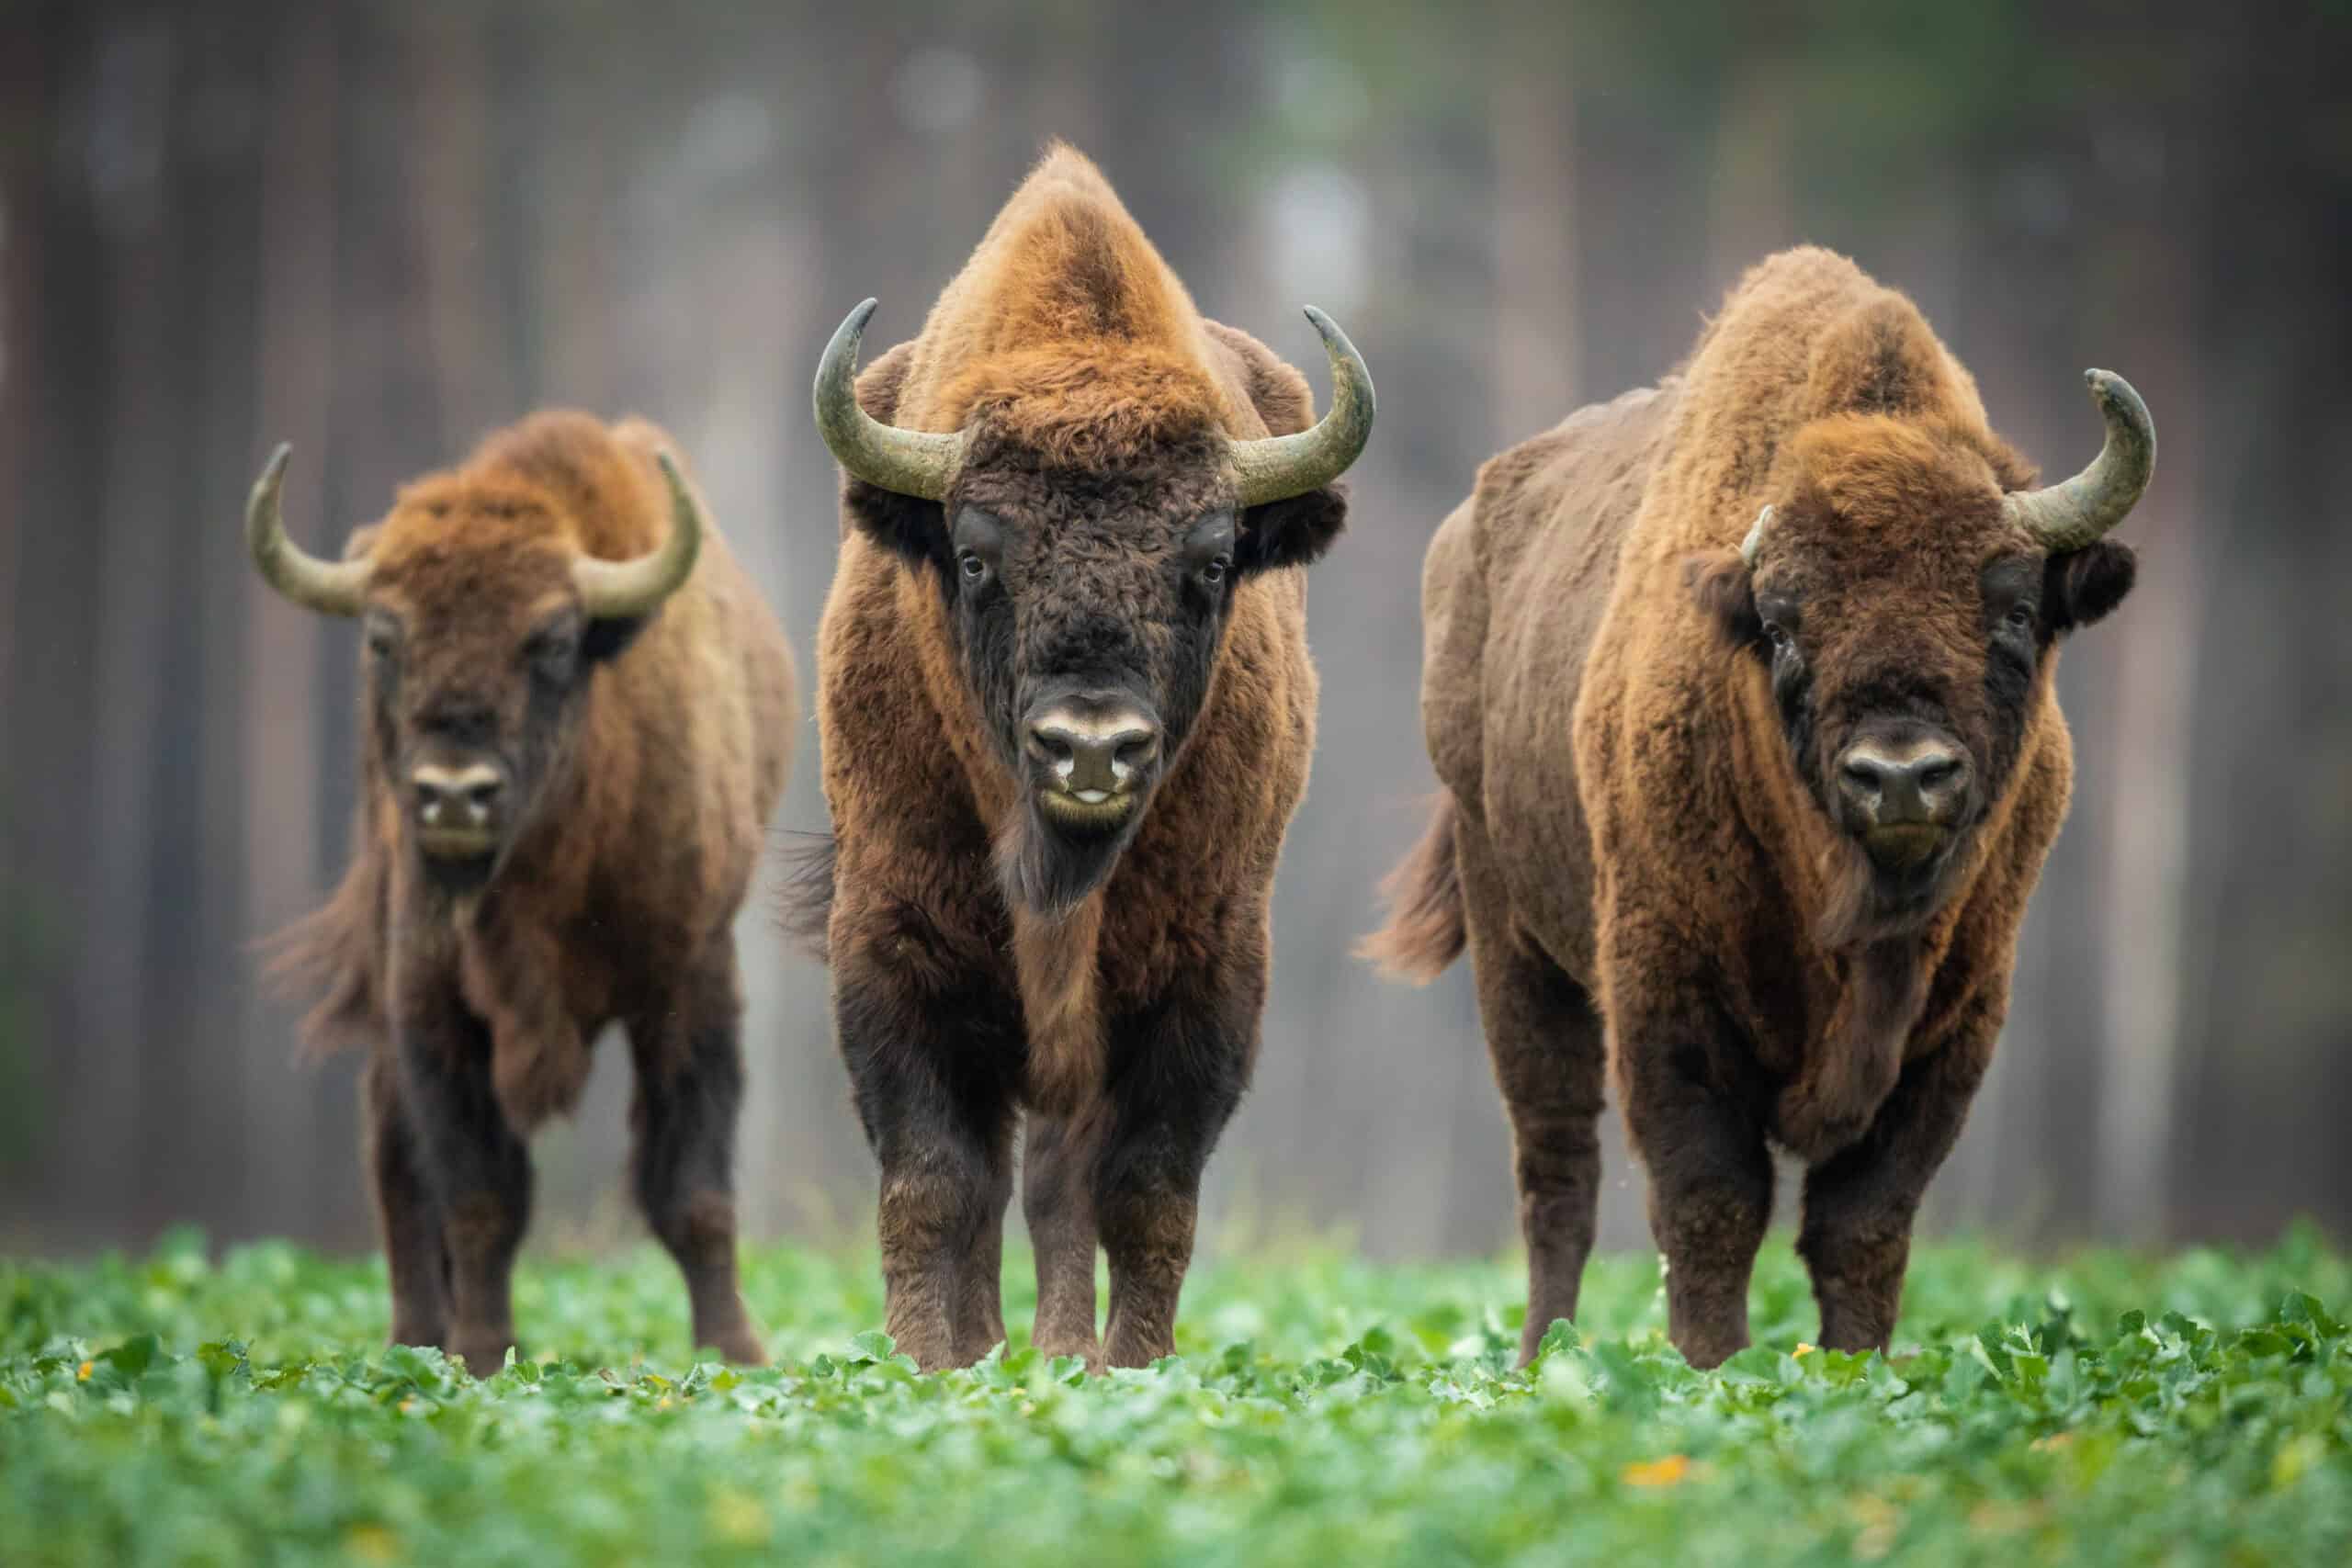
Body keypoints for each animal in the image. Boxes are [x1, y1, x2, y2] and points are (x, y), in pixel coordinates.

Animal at [250, 413, 799, 1372]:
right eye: (384, 639)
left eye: (550, 641)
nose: (452, 794)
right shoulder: (432, 1002)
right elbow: (480, 1194)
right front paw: (480, 1352)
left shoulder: (690, 981)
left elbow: (693, 1189)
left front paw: (735, 1354)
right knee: (396, 1163)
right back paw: (413, 1339)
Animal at [799, 150, 1374, 1372]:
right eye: (975, 557)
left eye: (1211, 563)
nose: (1092, 750)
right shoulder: (892, 944)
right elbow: (931, 1184)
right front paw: (923, 1365)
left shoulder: (1206, 970)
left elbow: (1144, 1192)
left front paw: (1130, 1369)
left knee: (1062, 1187)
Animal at [1363, 251, 2154, 1363]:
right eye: (1783, 626)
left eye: (2013, 609)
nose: (1900, 774)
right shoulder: (1669, 997)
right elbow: (1711, 1203)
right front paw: (1715, 1371)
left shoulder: (1957, 1022)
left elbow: (1865, 1222)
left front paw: (1856, 1371)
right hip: (1514, 943)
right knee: (1557, 1173)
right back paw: (1539, 1360)